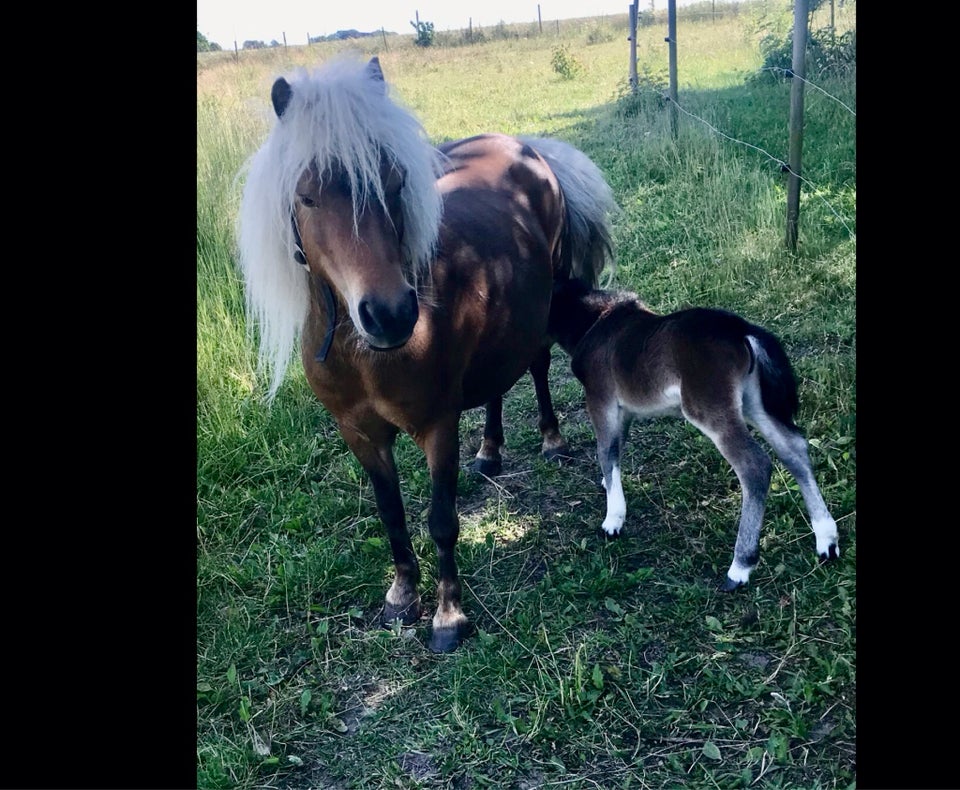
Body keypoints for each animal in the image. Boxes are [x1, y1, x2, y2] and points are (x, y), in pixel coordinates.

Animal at [236, 54, 620, 648]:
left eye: (395, 183)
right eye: (306, 197)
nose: (390, 313)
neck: (363, 355)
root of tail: (525, 147)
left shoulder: (437, 426)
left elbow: (442, 520)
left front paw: (448, 616)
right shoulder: (360, 434)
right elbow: (392, 515)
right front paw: (400, 596)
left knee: (534, 365)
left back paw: (551, 440)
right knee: (496, 384)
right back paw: (489, 451)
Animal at [548, 278, 840, 588]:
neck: (595, 323)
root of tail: (741, 329)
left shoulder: (600, 400)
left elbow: (605, 450)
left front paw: (613, 521)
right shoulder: (623, 410)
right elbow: (615, 448)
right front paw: (608, 485)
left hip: (709, 408)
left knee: (755, 465)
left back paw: (740, 567)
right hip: (753, 402)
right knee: (793, 447)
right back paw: (826, 539)